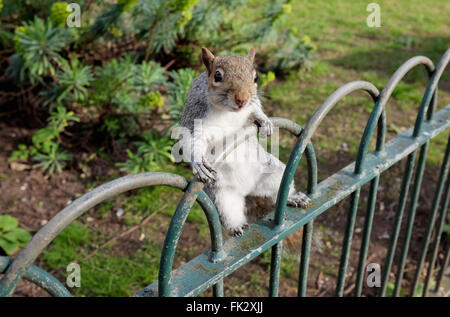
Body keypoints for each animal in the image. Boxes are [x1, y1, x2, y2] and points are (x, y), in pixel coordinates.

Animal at [178, 47, 312, 235]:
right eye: (217, 76)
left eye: (256, 78)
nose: (242, 99)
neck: (226, 111)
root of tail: (247, 189)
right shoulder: (195, 114)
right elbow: (191, 140)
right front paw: (199, 162)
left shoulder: (251, 105)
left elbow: (255, 109)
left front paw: (264, 120)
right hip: (221, 195)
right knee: (229, 213)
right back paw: (237, 226)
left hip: (273, 172)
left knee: (277, 193)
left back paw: (293, 197)